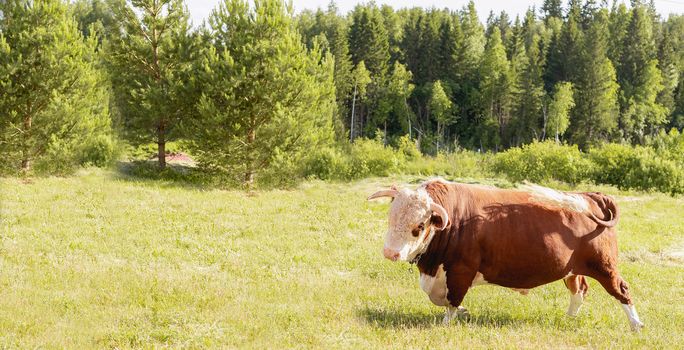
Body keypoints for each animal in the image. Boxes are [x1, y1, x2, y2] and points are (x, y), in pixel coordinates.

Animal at [366, 180, 644, 330]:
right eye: (391, 217)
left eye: (419, 226)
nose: (390, 252)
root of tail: (591, 196)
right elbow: (439, 298)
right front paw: (463, 312)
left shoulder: (461, 271)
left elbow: (451, 300)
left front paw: (448, 322)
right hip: (572, 269)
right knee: (580, 290)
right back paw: (569, 318)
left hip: (605, 267)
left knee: (622, 290)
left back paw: (636, 325)